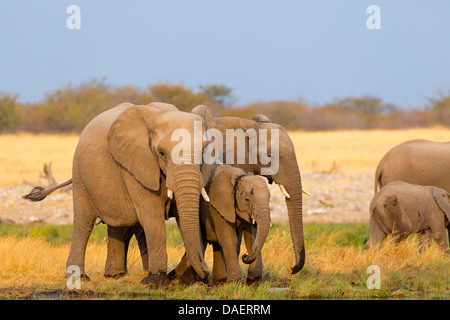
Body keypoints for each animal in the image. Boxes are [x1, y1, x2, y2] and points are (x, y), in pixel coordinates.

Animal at [25, 101, 212, 284]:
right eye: (161, 153)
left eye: (203, 150)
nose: (205, 273)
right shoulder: (135, 166)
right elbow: (152, 215)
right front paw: (156, 280)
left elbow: (181, 216)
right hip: (79, 173)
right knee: (84, 222)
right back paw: (78, 277)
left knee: (120, 224)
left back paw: (115, 276)